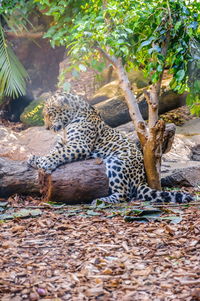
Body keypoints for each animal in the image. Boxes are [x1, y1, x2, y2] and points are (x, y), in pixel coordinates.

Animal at [27, 91, 193, 204]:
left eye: (50, 114)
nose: (46, 128)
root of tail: (142, 179)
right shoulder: (64, 142)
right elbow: (54, 151)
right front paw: (35, 159)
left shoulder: (80, 144)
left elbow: (59, 153)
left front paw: (44, 163)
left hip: (116, 162)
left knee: (124, 194)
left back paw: (101, 200)